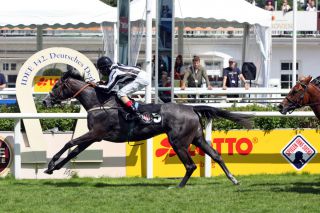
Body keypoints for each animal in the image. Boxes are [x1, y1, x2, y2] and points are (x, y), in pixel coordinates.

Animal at [43, 73, 252, 188]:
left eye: (56, 85)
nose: (45, 101)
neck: (100, 103)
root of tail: (191, 108)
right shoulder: (94, 137)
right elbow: (73, 151)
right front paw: (52, 168)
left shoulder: (96, 134)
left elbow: (69, 142)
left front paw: (51, 163)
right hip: (197, 138)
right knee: (216, 155)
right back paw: (233, 179)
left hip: (178, 142)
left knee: (191, 165)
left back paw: (178, 186)